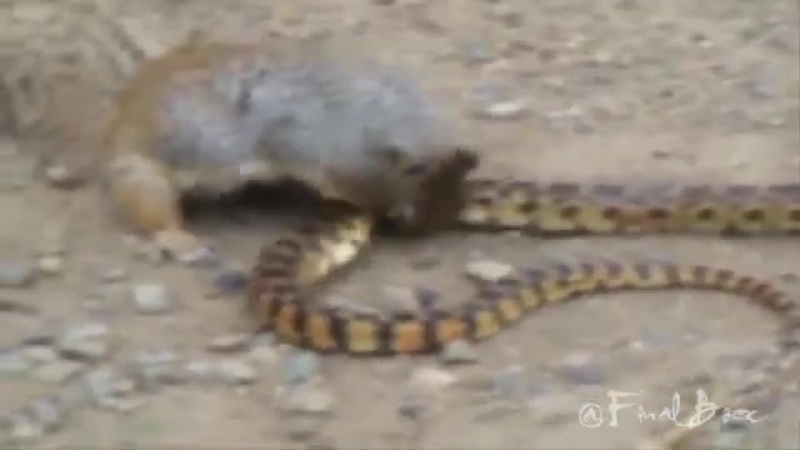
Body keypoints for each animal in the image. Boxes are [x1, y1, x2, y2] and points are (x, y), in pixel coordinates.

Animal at [97, 38, 478, 264]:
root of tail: (116, 131)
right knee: (152, 212)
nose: (420, 233)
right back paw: (181, 240)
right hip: (142, 175)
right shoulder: (332, 156)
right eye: (426, 194)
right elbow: (359, 189)